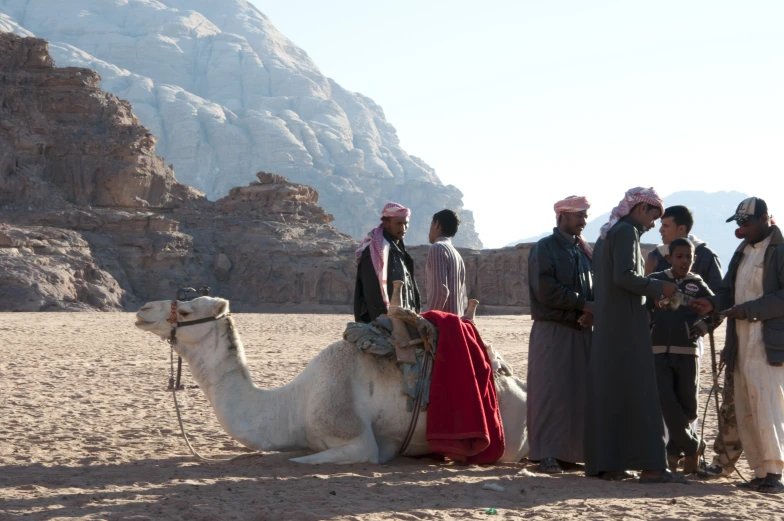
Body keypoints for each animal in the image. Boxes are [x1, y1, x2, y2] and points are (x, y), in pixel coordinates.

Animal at [135, 294, 528, 466]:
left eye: (186, 310)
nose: (142, 310)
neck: (294, 403)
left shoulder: (358, 439)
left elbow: (298, 461)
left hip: (506, 441)